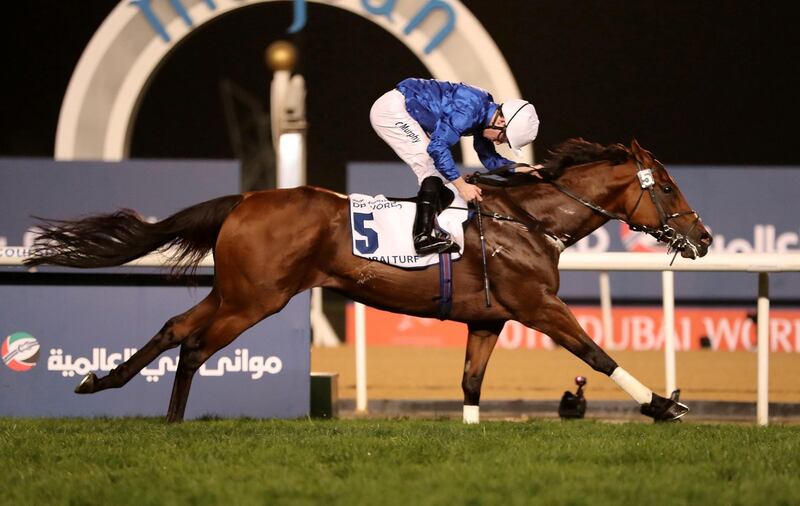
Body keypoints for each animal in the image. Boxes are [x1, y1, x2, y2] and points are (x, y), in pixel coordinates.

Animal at [25, 137, 712, 422]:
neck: (526, 221)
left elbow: (470, 384)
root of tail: (245, 199)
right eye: (668, 186)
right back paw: (165, 419)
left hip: (234, 291)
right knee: (193, 344)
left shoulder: (488, 318)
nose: (704, 239)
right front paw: (663, 405)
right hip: (255, 300)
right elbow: (596, 353)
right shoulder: (537, 305)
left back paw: (103, 382)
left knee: (173, 328)